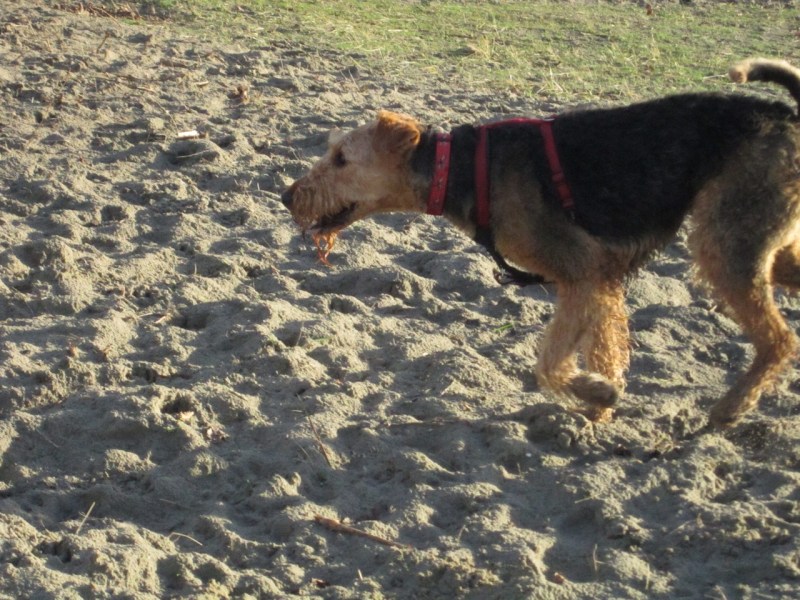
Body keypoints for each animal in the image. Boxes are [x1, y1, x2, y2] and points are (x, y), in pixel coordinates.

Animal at [282, 58, 800, 428]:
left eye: (342, 158)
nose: (287, 195)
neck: (460, 169)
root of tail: (786, 114)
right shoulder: (598, 282)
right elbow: (604, 349)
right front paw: (600, 404)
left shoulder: (582, 272)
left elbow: (549, 363)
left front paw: (599, 394)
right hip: (766, 246)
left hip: (725, 245)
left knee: (779, 339)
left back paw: (730, 408)